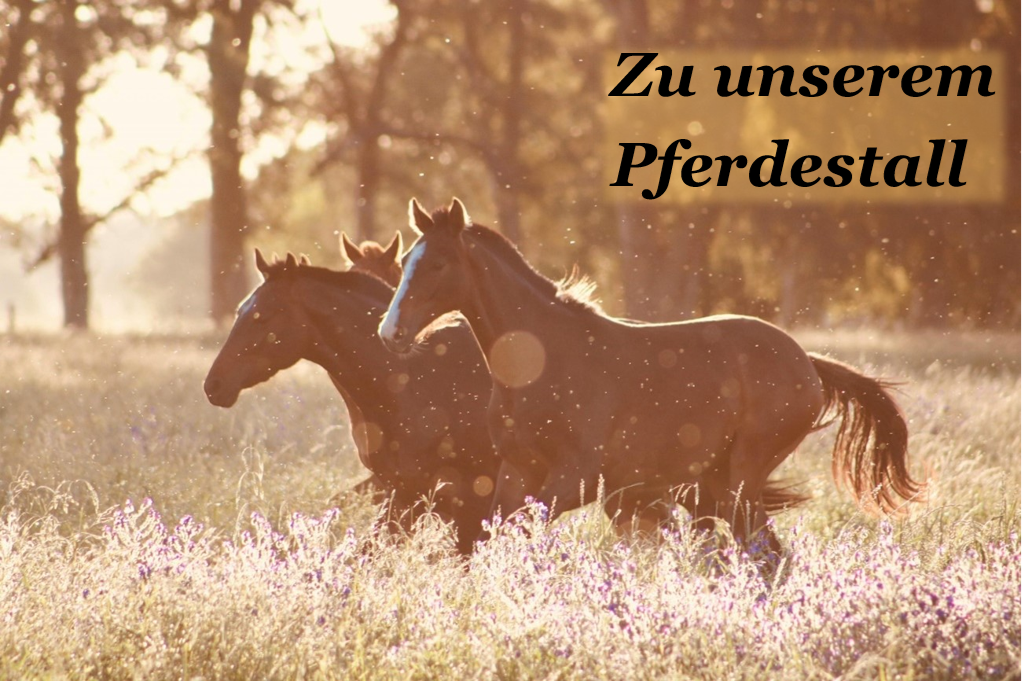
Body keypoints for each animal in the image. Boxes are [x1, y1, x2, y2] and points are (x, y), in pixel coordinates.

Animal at [378, 198, 925, 552]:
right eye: (406, 262)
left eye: (439, 264)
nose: (390, 331)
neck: (542, 361)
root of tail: (807, 362)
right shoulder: (518, 471)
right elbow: (489, 536)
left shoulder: (577, 478)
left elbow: (516, 533)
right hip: (715, 484)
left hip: (741, 478)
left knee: (764, 553)